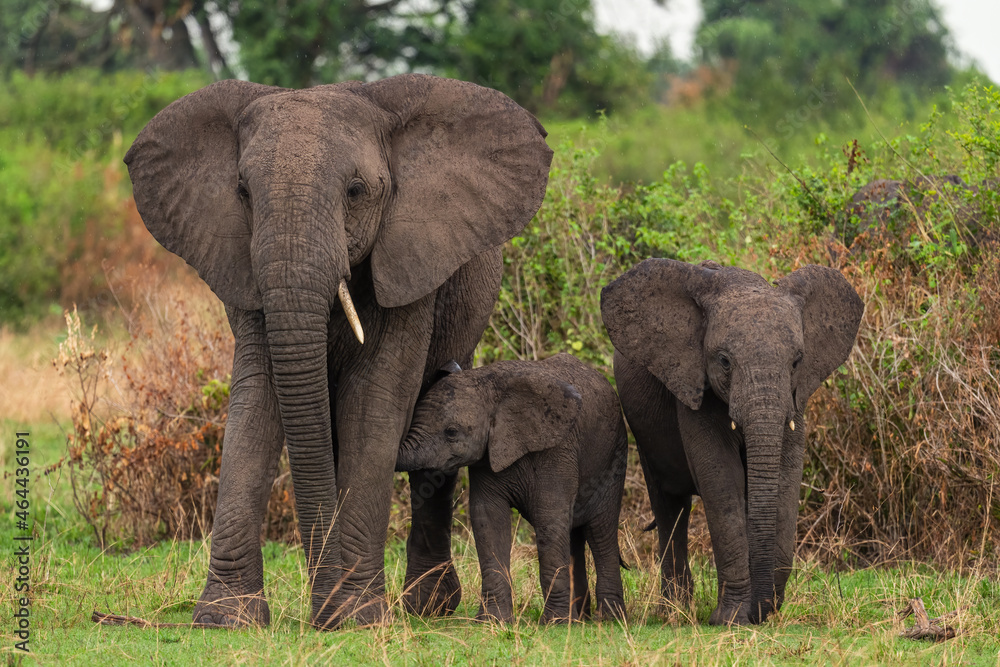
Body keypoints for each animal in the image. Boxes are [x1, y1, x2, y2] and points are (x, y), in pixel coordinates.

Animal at [123, 74, 556, 632]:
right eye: (242, 193)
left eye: (356, 192)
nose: (322, 615)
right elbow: (254, 403)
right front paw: (225, 619)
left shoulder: (409, 262)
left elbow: (374, 404)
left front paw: (354, 616)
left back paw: (423, 606)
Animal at [396, 354, 624, 628]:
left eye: (451, 432)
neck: (491, 387)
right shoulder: (487, 456)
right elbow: (488, 519)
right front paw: (493, 622)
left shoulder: (557, 449)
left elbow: (550, 519)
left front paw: (554, 623)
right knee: (575, 535)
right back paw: (579, 619)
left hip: (613, 457)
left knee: (601, 531)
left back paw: (609, 619)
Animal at [596, 260, 864, 628]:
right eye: (724, 361)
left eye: (797, 362)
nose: (762, 612)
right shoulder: (693, 388)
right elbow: (722, 482)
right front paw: (731, 619)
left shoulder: (795, 398)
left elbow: (785, 479)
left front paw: (753, 612)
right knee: (670, 507)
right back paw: (675, 612)